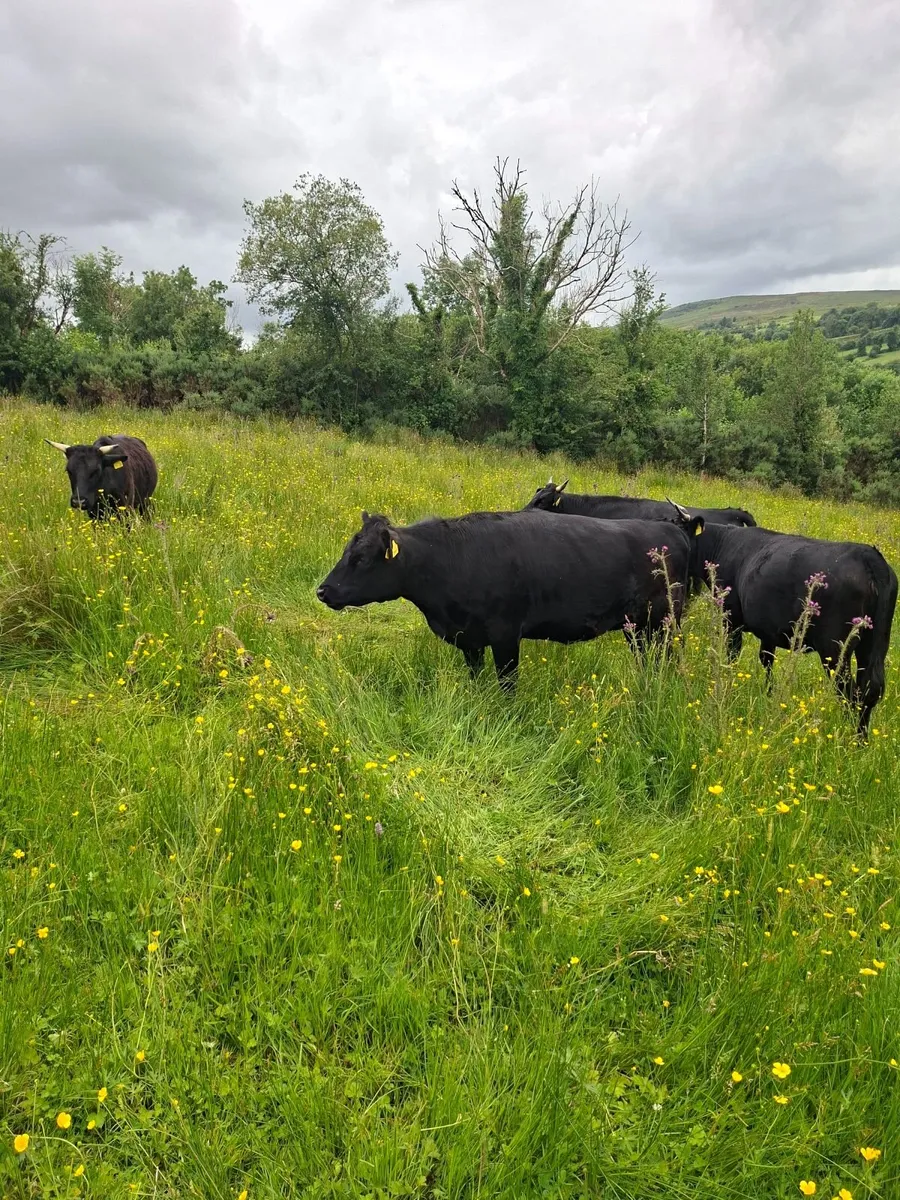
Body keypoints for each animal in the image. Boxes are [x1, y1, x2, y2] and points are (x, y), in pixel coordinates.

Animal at [316, 506, 704, 690]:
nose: (323, 590)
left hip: (664, 623)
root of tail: (672, 529)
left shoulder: (505, 636)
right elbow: (476, 678)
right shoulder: (470, 639)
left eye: (361, 558)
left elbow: (506, 684)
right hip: (637, 628)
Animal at [691, 523, 898, 736]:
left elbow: (733, 656)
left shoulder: (732, 619)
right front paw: (769, 694)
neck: (723, 542)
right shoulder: (768, 631)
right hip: (874, 644)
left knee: (850, 694)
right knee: (869, 690)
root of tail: (869, 557)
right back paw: (860, 739)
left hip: (835, 651)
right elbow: (766, 659)